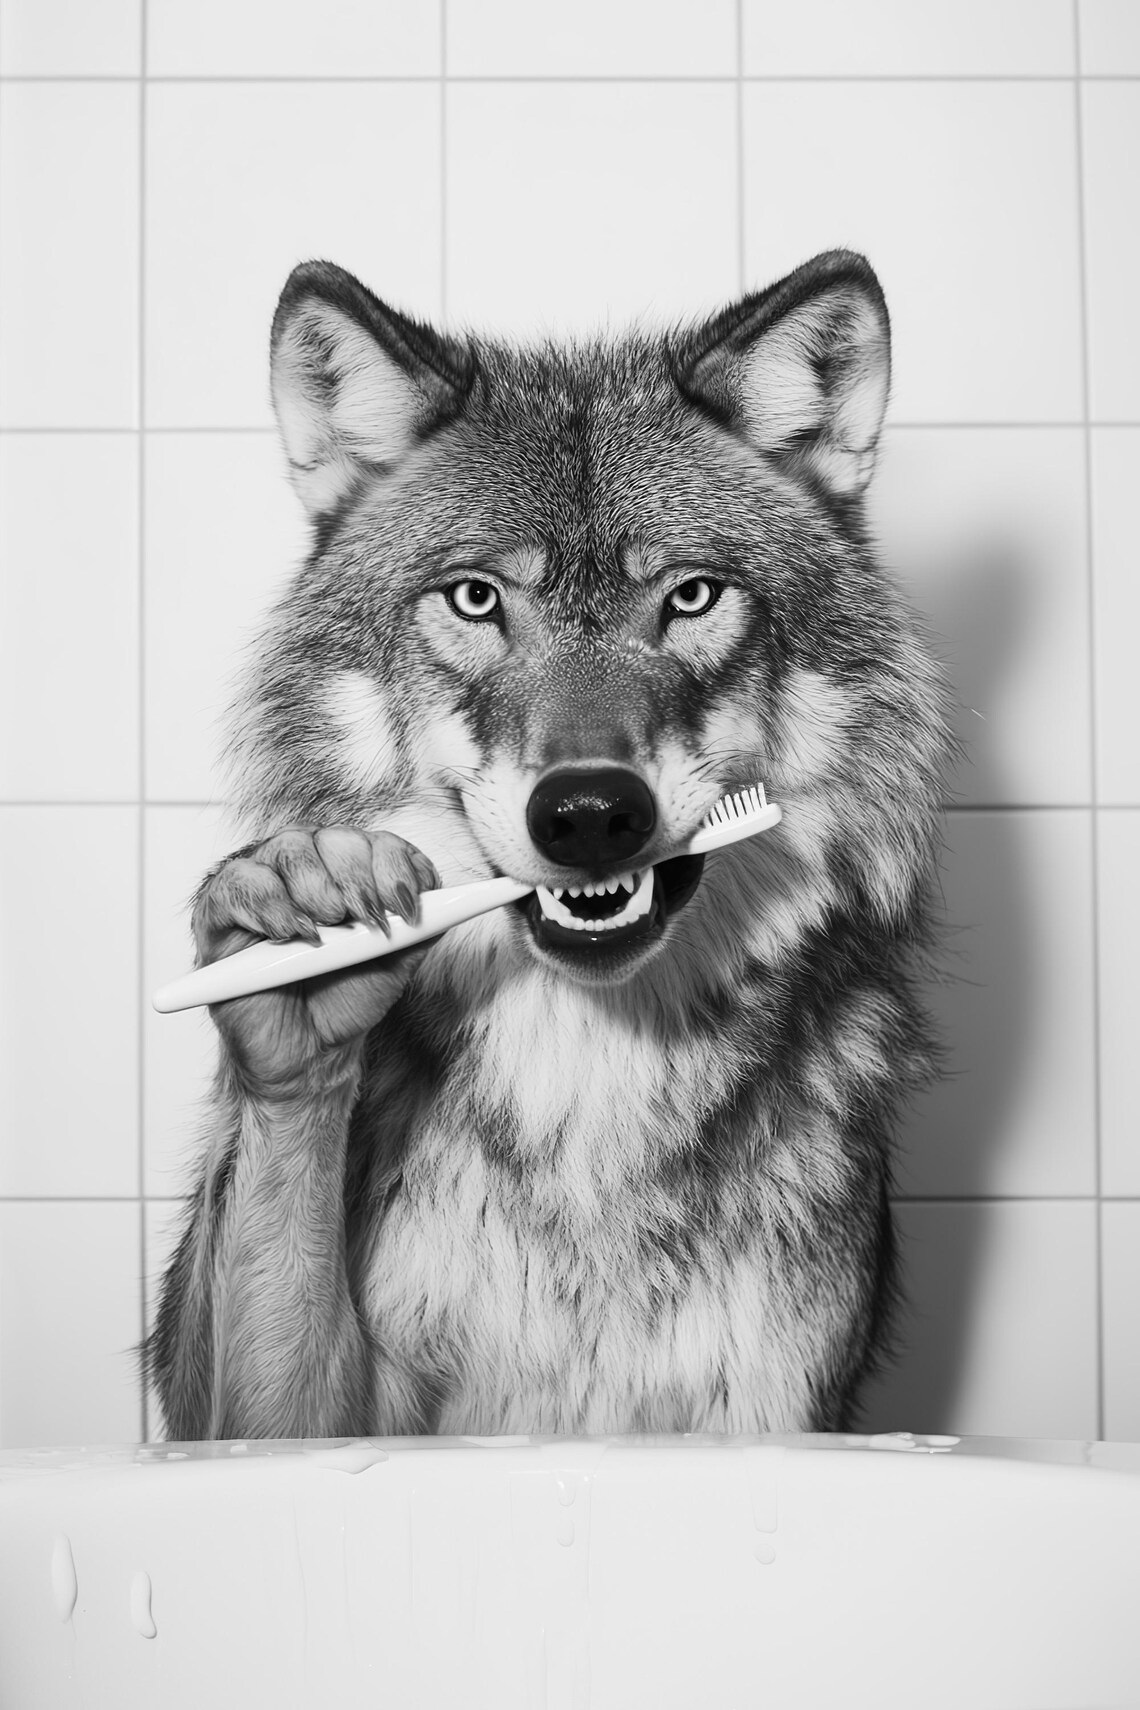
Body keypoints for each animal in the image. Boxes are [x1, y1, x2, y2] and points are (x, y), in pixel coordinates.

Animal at [146, 248, 949, 1441]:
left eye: (691, 596)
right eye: (477, 599)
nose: (589, 813)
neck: (587, 1080)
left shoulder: (776, 1415)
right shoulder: (281, 1419)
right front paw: (304, 922)